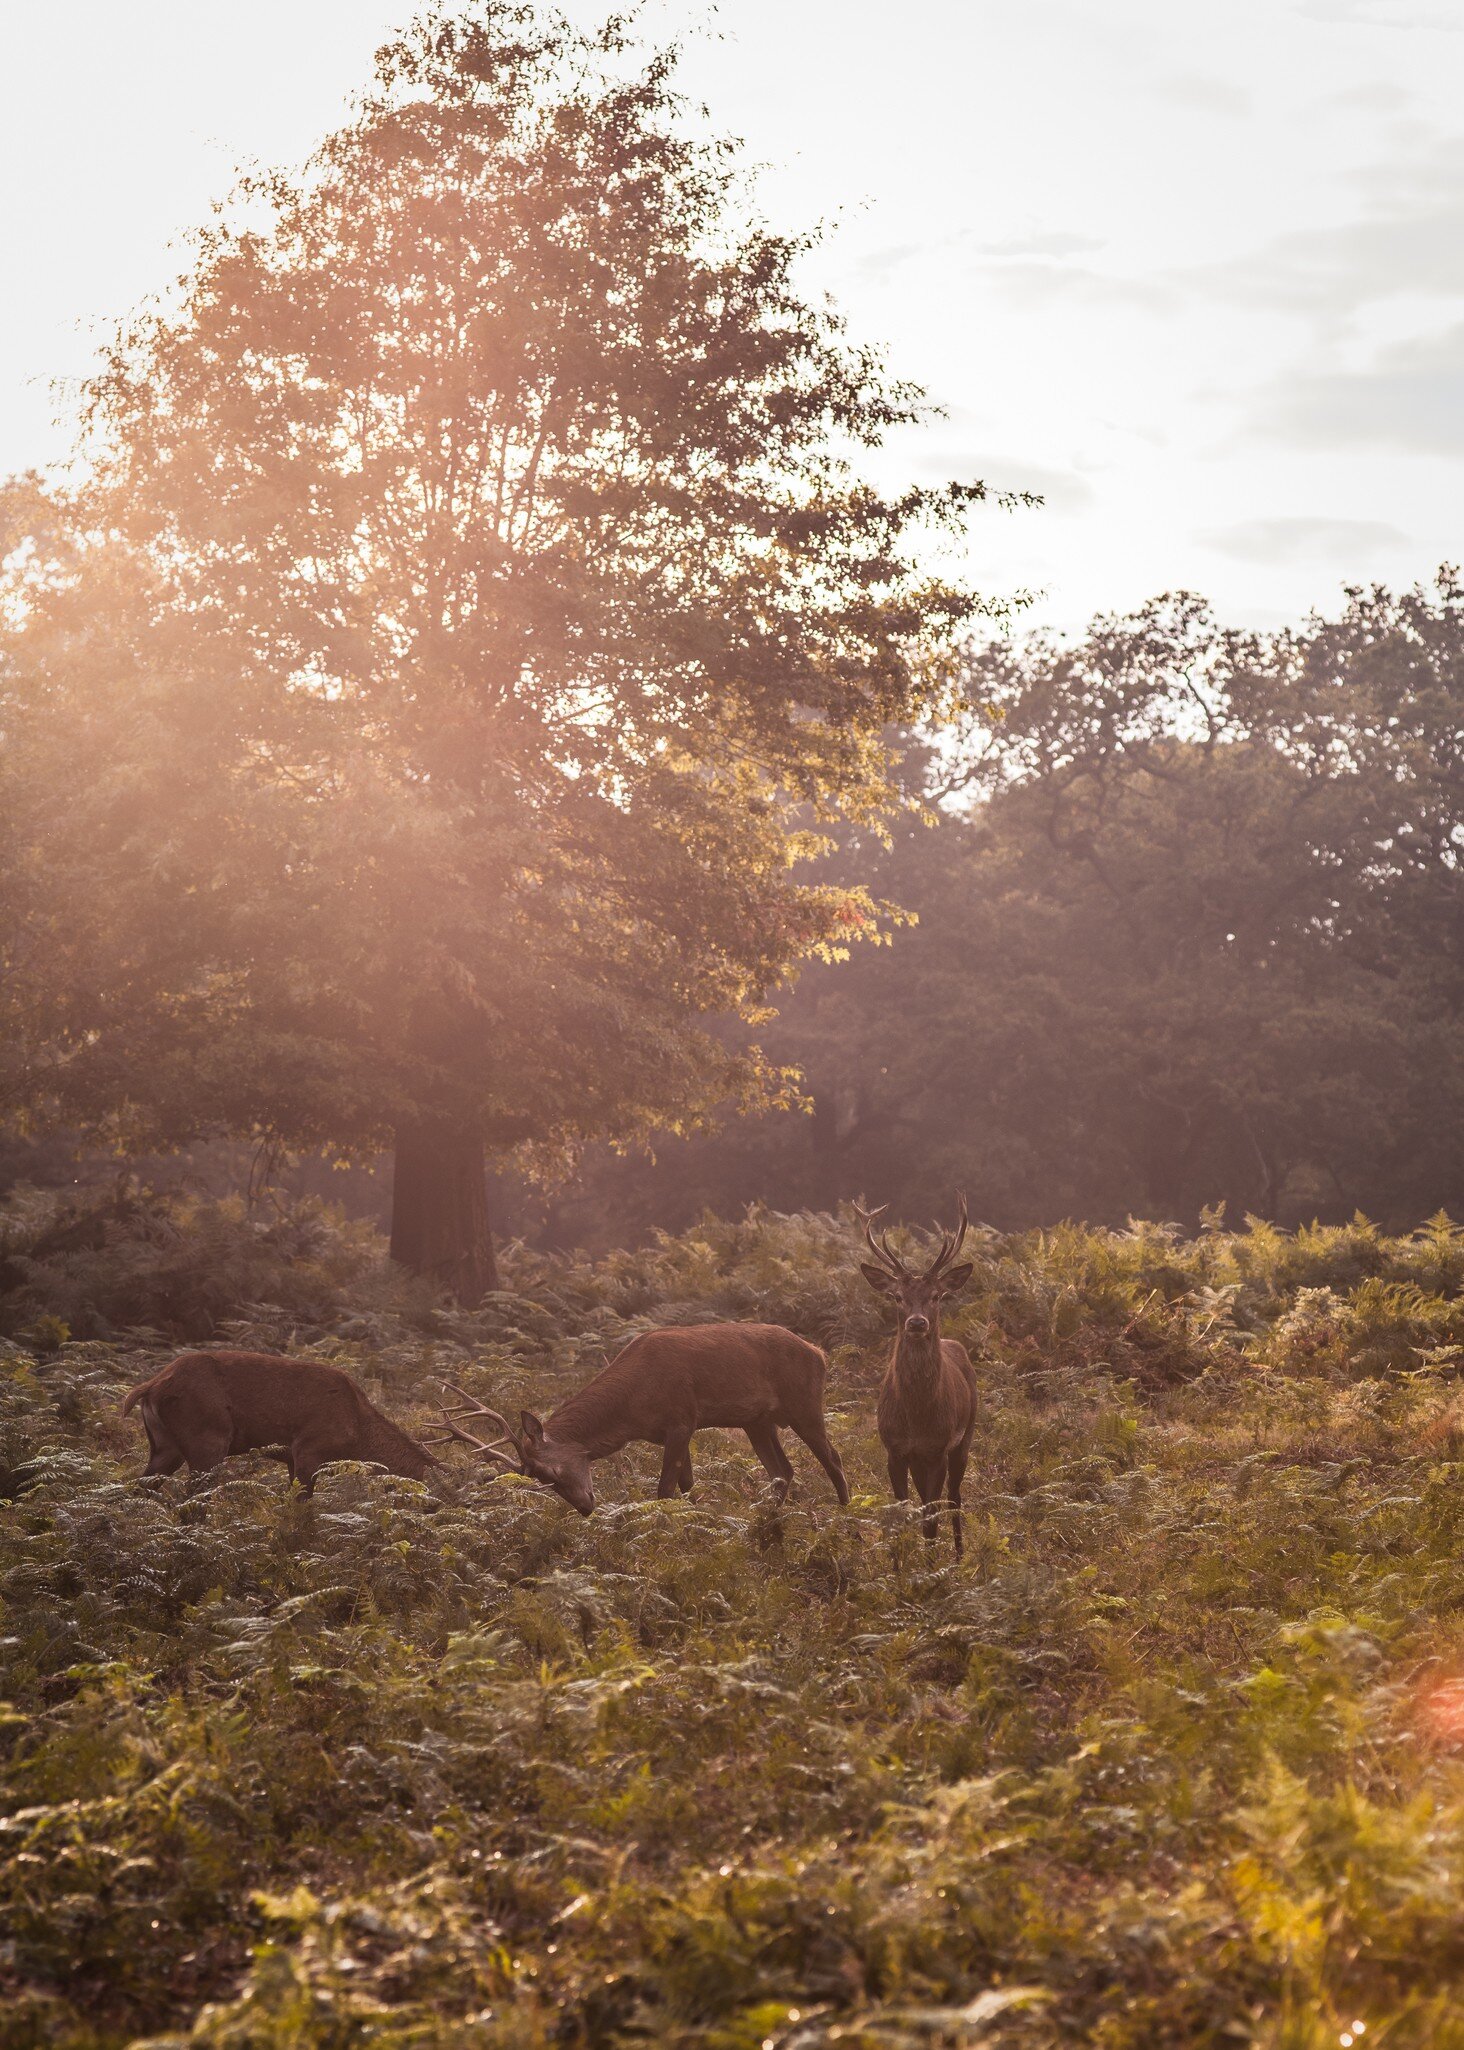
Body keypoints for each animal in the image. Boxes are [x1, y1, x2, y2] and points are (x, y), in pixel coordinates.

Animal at [431, 1322, 850, 1516]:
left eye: (551, 1472)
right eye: (540, 1481)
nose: (585, 1508)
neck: (631, 1411)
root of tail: (819, 1353)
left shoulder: (682, 1419)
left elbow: (664, 1489)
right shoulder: (672, 1431)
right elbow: (686, 1485)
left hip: (804, 1404)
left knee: (833, 1458)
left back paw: (847, 1512)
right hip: (757, 1421)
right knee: (782, 1471)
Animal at [855, 1196, 978, 1556]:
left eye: (936, 1296)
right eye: (897, 1296)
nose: (917, 1322)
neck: (916, 1418)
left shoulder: (937, 1448)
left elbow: (930, 1521)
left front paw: (932, 1566)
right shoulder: (895, 1450)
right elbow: (900, 1516)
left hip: (965, 1437)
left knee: (954, 1499)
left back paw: (959, 1555)